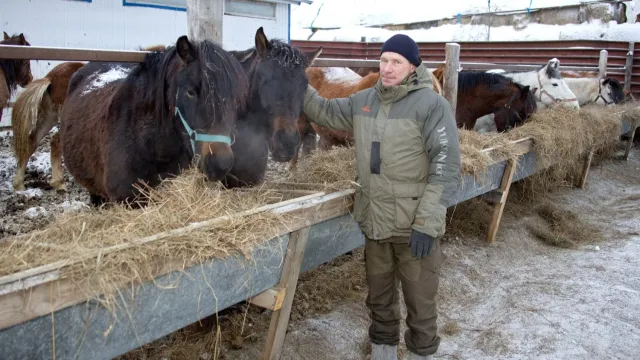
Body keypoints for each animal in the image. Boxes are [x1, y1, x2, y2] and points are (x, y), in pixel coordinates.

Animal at [11, 62, 85, 193]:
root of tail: (51, 78)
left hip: (49, 117)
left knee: (31, 142)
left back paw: (19, 184)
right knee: (56, 142)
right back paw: (59, 183)